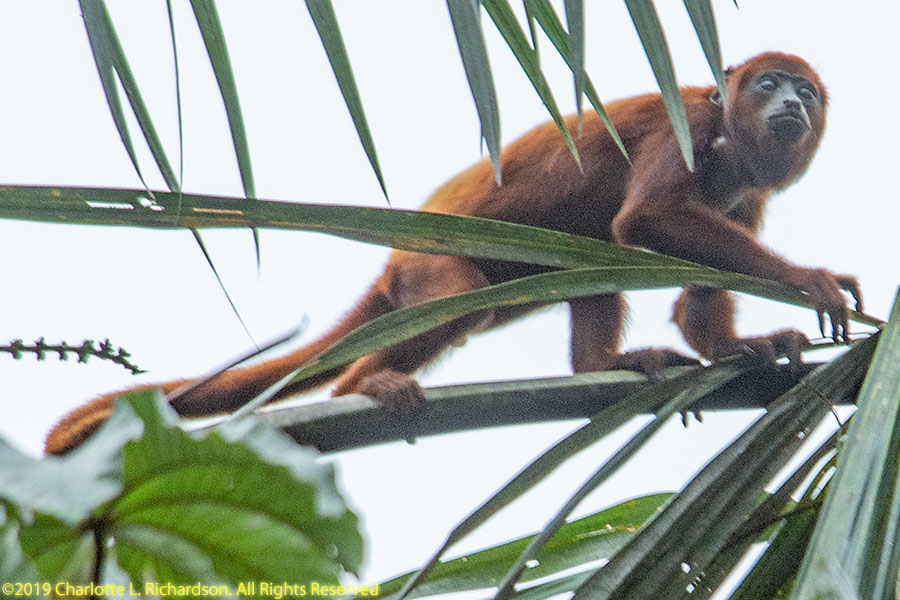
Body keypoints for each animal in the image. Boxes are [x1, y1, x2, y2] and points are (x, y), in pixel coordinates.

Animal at [44, 52, 861, 455]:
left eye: (807, 93)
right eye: (767, 83)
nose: (792, 102)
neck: (731, 145)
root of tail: (394, 257)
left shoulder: (749, 197)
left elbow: (694, 278)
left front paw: (740, 344)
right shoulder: (684, 124)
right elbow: (649, 218)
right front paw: (811, 281)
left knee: (588, 260)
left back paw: (602, 367)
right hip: (428, 266)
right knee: (467, 299)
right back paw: (366, 388)